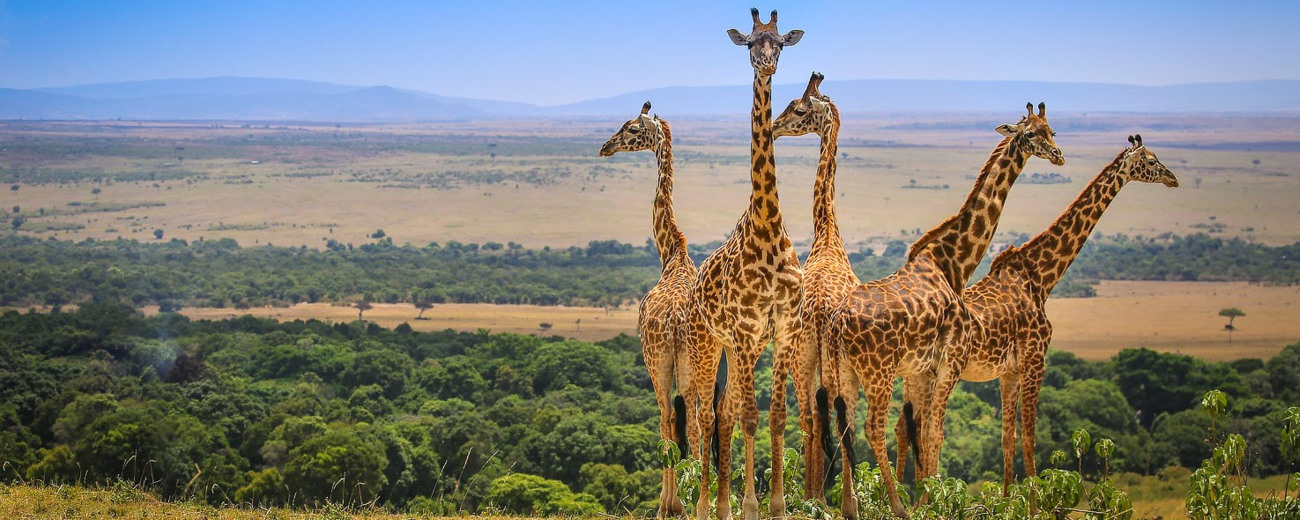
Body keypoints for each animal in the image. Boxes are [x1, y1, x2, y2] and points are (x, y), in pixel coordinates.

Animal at [826, 103, 1060, 517]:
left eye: (1051, 130)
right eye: (1031, 134)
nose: (1058, 155)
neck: (953, 262)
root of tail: (838, 323)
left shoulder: (924, 368)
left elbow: (924, 430)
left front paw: (929, 495)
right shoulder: (949, 361)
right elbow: (935, 431)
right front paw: (932, 501)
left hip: (846, 371)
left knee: (847, 425)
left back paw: (851, 508)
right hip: (879, 371)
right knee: (872, 427)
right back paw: (897, 506)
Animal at [894, 131, 1180, 493]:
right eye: (1152, 160)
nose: (1173, 178)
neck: (1041, 277)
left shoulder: (1009, 371)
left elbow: (1007, 439)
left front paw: (1007, 497)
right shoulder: (1036, 360)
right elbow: (1030, 439)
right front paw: (1032, 499)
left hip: (917, 373)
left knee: (905, 427)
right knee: (920, 428)